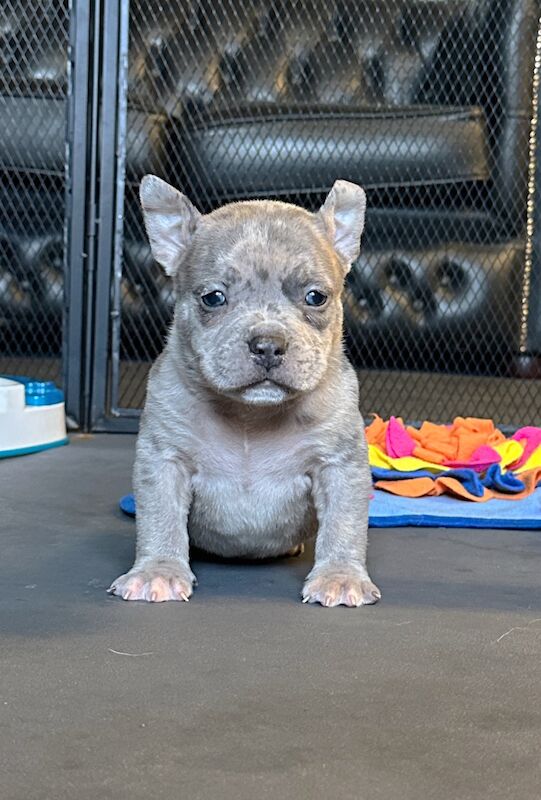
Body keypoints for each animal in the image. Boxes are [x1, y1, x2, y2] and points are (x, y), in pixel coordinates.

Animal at [108, 175, 380, 608]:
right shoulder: (165, 461)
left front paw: (340, 576)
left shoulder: (339, 466)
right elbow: (160, 518)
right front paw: (158, 571)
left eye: (316, 297)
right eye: (213, 297)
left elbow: (344, 523)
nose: (268, 343)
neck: (251, 415)